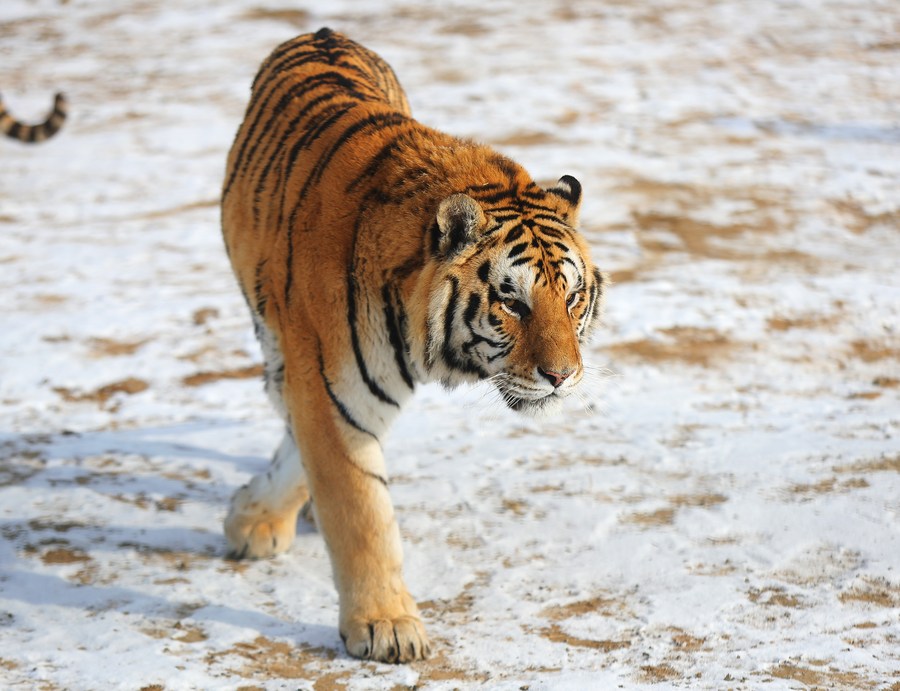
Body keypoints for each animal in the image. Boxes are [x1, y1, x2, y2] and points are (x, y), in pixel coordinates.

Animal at [222, 27, 608, 664]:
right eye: (513, 302)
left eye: (573, 297)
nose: (562, 377)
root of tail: (321, 31)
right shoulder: (329, 388)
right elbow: (360, 512)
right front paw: (387, 627)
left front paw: (253, 517)